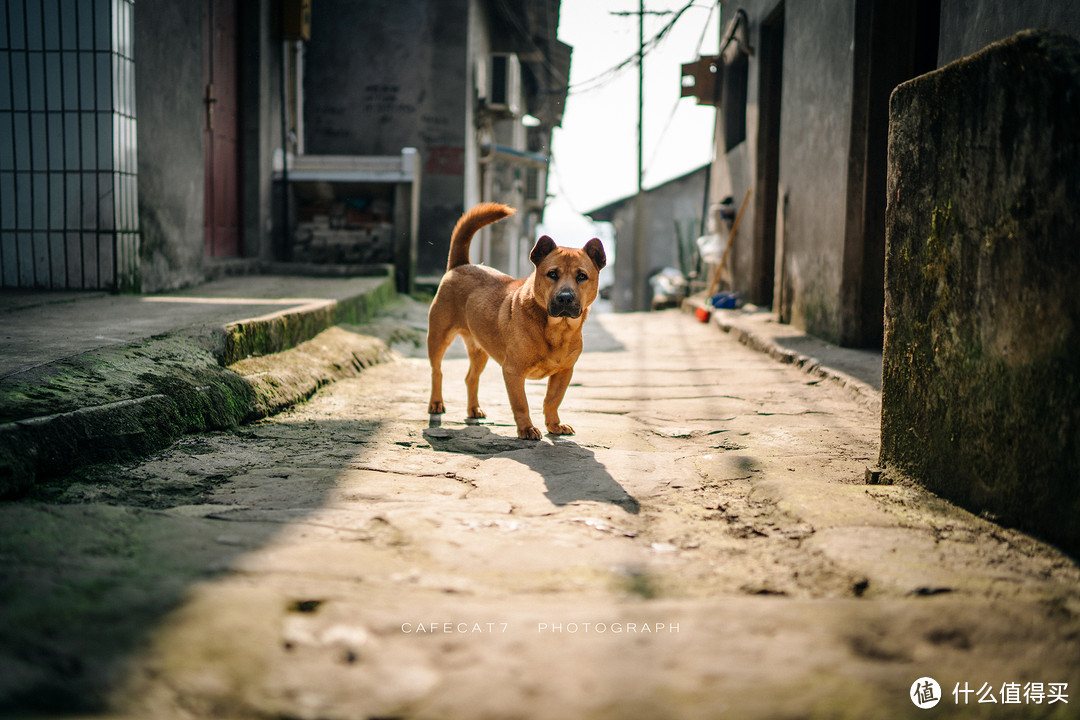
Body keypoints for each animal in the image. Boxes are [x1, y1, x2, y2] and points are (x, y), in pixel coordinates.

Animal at [423, 202, 609, 440]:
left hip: (480, 351)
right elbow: (521, 404)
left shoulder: (564, 372)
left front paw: (554, 425)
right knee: (437, 371)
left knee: (470, 378)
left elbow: (553, 400)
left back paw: (474, 409)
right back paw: (436, 403)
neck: (557, 329)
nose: (565, 297)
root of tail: (461, 265)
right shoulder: (513, 372)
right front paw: (527, 428)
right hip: (438, 338)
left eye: (582, 276)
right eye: (552, 274)